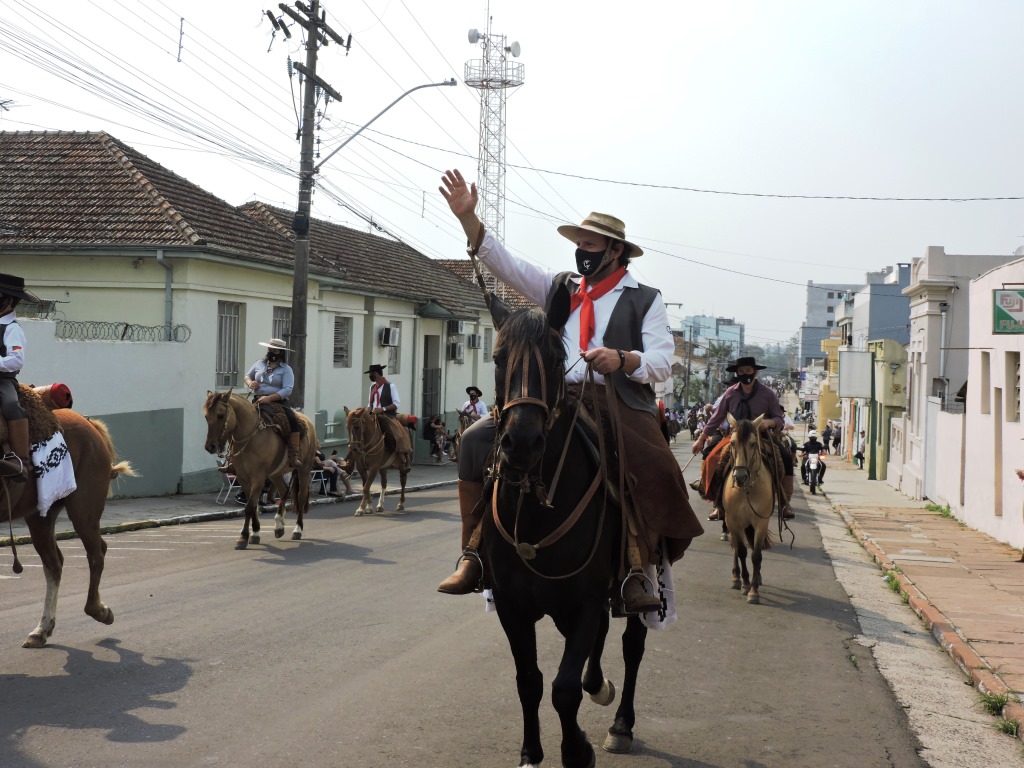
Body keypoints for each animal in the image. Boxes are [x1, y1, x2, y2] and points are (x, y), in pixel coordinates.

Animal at [1, 411, 137, 647]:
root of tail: (89, 424)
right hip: (41, 515)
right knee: (54, 564)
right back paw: (42, 629)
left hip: (83, 512)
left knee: (95, 554)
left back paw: (97, 610)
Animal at [198, 393, 311, 548]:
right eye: (206, 416)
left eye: (220, 415)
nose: (210, 447)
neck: (251, 437)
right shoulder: (243, 478)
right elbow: (253, 505)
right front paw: (255, 532)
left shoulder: (258, 478)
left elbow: (250, 507)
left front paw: (243, 537)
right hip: (275, 474)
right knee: (284, 491)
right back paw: (278, 526)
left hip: (304, 470)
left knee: (301, 496)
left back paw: (297, 529)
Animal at [485, 288, 647, 768]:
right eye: (498, 357)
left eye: (557, 358)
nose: (521, 443)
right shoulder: (511, 606)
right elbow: (529, 681)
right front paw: (531, 752)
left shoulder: (586, 599)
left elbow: (564, 688)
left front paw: (577, 750)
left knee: (632, 643)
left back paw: (621, 725)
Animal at [720, 417, 774, 606]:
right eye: (732, 443)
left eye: (753, 444)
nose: (740, 477)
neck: (747, 489)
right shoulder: (734, 521)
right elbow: (742, 551)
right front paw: (744, 584)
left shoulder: (761, 522)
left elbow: (756, 555)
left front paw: (754, 591)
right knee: (736, 547)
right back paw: (736, 578)